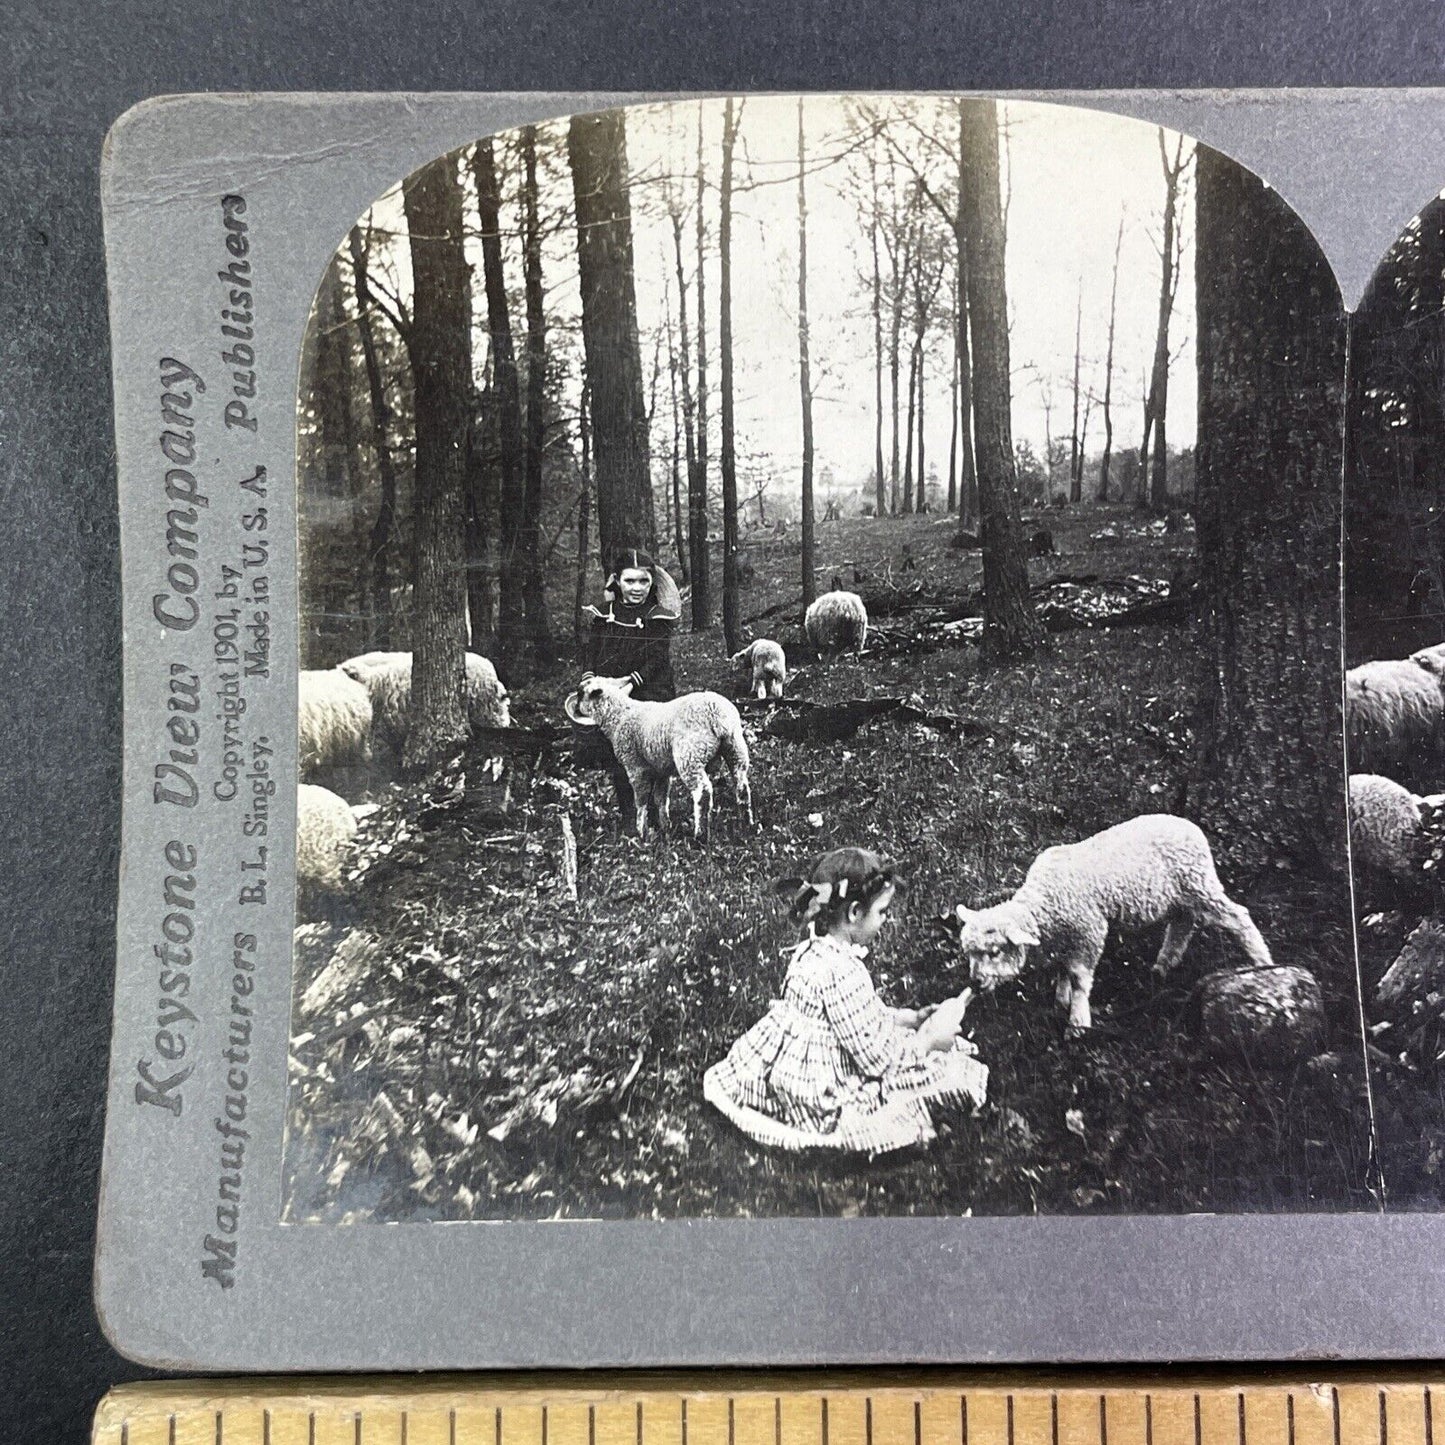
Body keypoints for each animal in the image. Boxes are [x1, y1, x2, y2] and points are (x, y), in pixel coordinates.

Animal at [572, 679, 757, 843]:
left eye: (581, 694)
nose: (574, 707)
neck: (619, 716)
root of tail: (717, 715)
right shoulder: (661, 770)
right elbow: (661, 799)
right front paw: (665, 827)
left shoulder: (635, 767)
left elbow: (641, 800)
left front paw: (641, 831)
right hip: (735, 748)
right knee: (741, 786)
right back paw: (747, 825)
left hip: (690, 757)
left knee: (702, 793)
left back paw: (700, 835)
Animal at [947, 814, 1277, 1040]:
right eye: (969, 953)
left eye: (994, 951)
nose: (975, 983)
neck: (1044, 901)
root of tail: (1191, 826)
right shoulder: (1066, 937)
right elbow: (1062, 969)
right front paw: (1060, 1001)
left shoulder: (1089, 931)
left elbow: (1079, 977)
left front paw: (1078, 1022)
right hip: (1179, 895)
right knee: (1182, 924)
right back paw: (1163, 966)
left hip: (1199, 882)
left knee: (1237, 916)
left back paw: (1262, 960)